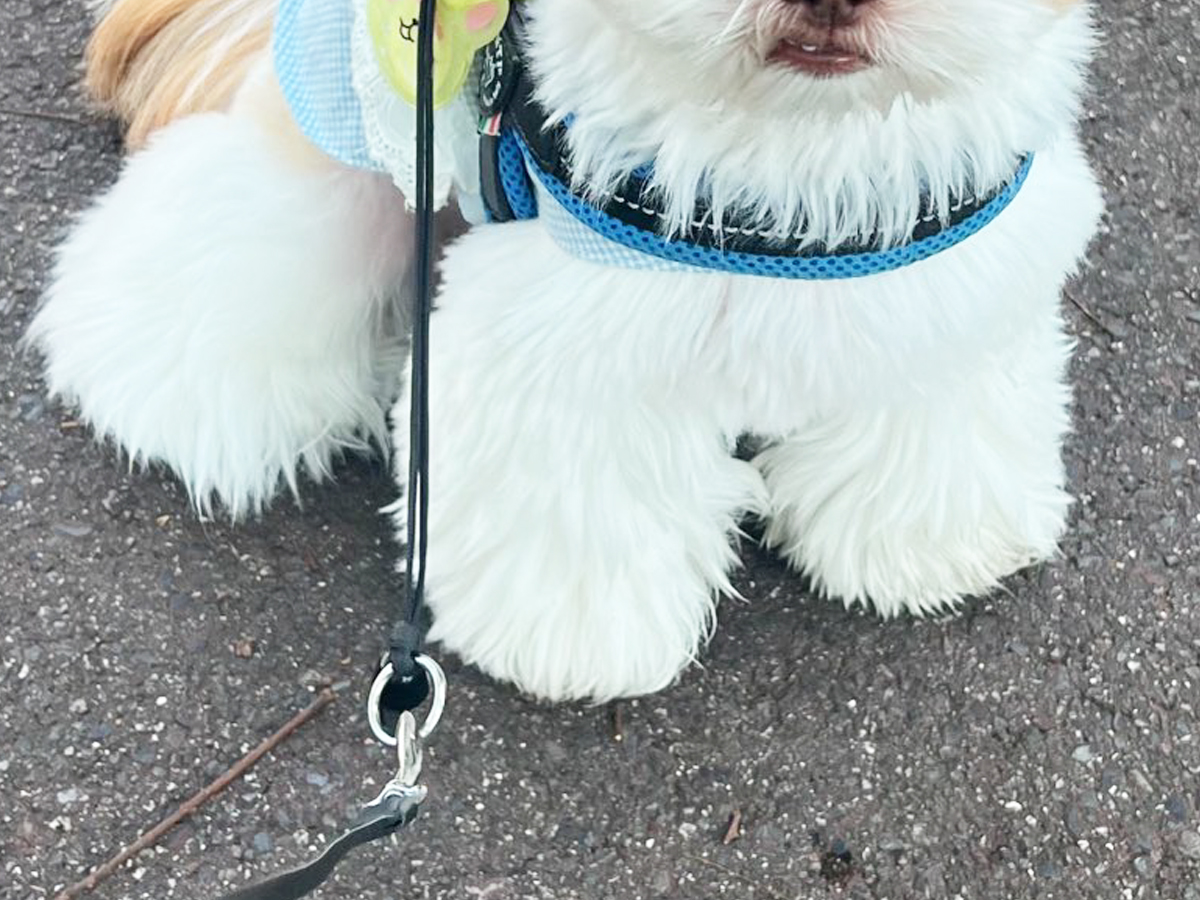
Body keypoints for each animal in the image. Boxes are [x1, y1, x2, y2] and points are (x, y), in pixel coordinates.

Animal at [28, 0, 1099, 700]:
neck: (787, 142)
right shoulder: (562, 321)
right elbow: (573, 495)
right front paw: (571, 634)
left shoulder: (949, 273)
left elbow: (933, 402)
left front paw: (929, 538)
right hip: (344, 173)